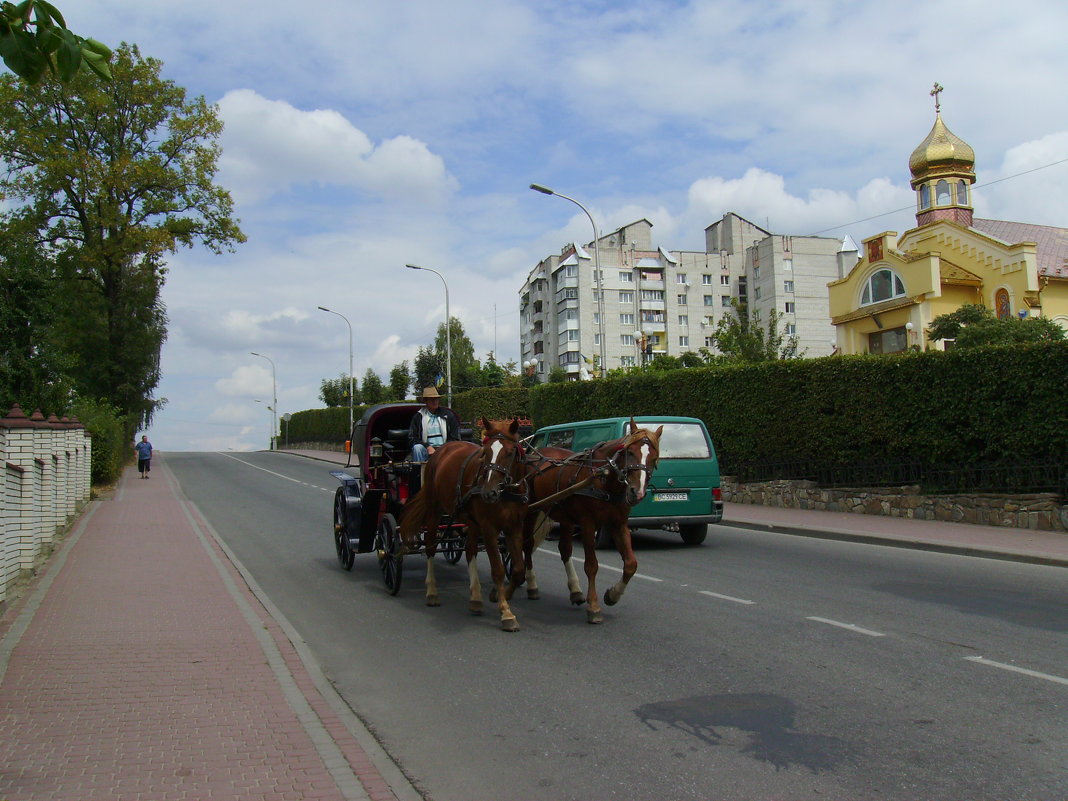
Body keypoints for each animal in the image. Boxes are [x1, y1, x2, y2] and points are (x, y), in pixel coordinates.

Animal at [397, 420, 529, 632]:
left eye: (509, 452)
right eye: (485, 452)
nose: (488, 492)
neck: (506, 492)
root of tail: (443, 449)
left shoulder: (514, 527)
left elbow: (517, 569)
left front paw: (501, 597)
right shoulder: (489, 528)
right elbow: (498, 570)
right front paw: (506, 612)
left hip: (472, 521)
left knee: (469, 550)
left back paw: (475, 598)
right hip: (434, 511)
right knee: (431, 547)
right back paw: (432, 591)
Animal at [519, 422, 657, 623]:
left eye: (654, 457)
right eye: (630, 452)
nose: (636, 492)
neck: (604, 478)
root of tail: (536, 454)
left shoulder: (619, 524)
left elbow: (631, 564)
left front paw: (613, 595)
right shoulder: (587, 524)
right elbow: (591, 565)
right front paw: (594, 606)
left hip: (565, 516)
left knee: (565, 549)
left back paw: (575, 590)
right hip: (532, 509)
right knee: (528, 545)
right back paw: (532, 584)